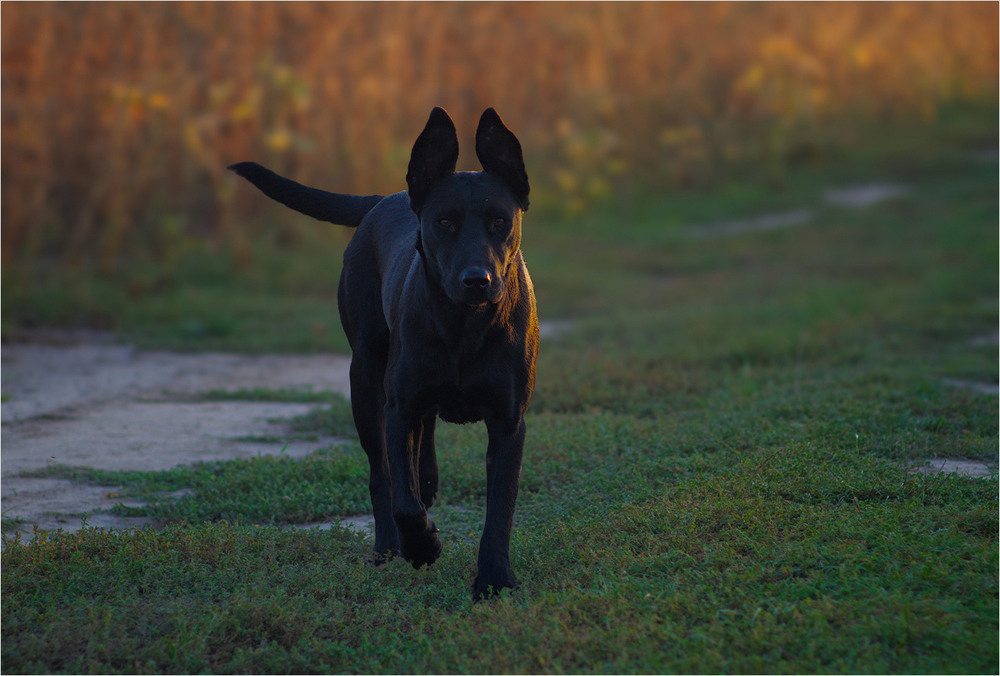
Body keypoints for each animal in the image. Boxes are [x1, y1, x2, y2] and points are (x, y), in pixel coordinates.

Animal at [229, 107, 540, 596]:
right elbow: (403, 499)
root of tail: (384, 198)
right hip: (366, 380)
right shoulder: (399, 409)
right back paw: (388, 548)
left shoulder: (509, 422)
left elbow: (500, 506)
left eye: (500, 221)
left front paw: (494, 578)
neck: (464, 326)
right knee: (383, 474)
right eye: (444, 222)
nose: (477, 280)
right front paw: (424, 546)